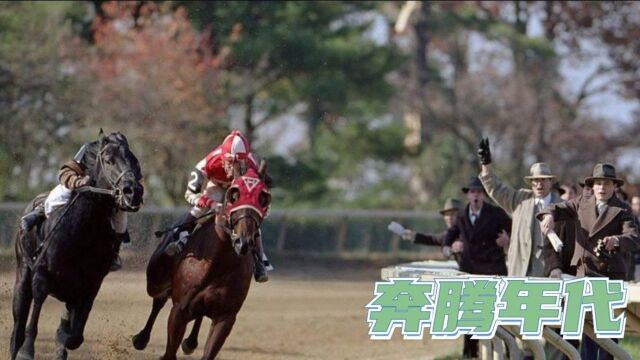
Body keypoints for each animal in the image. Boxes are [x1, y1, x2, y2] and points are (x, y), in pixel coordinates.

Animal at [10, 131, 143, 360]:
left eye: (135, 161)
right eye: (109, 160)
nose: (132, 192)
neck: (81, 235)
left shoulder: (91, 284)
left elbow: (74, 335)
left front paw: (62, 337)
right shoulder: (41, 273)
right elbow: (36, 307)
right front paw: (27, 351)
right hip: (22, 273)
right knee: (17, 328)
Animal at [131, 164, 272, 360]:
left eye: (263, 198)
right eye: (234, 195)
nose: (243, 241)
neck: (218, 263)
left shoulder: (225, 317)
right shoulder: (179, 311)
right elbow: (169, 352)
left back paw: (190, 343)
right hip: (155, 281)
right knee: (158, 300)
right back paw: (141, 338)